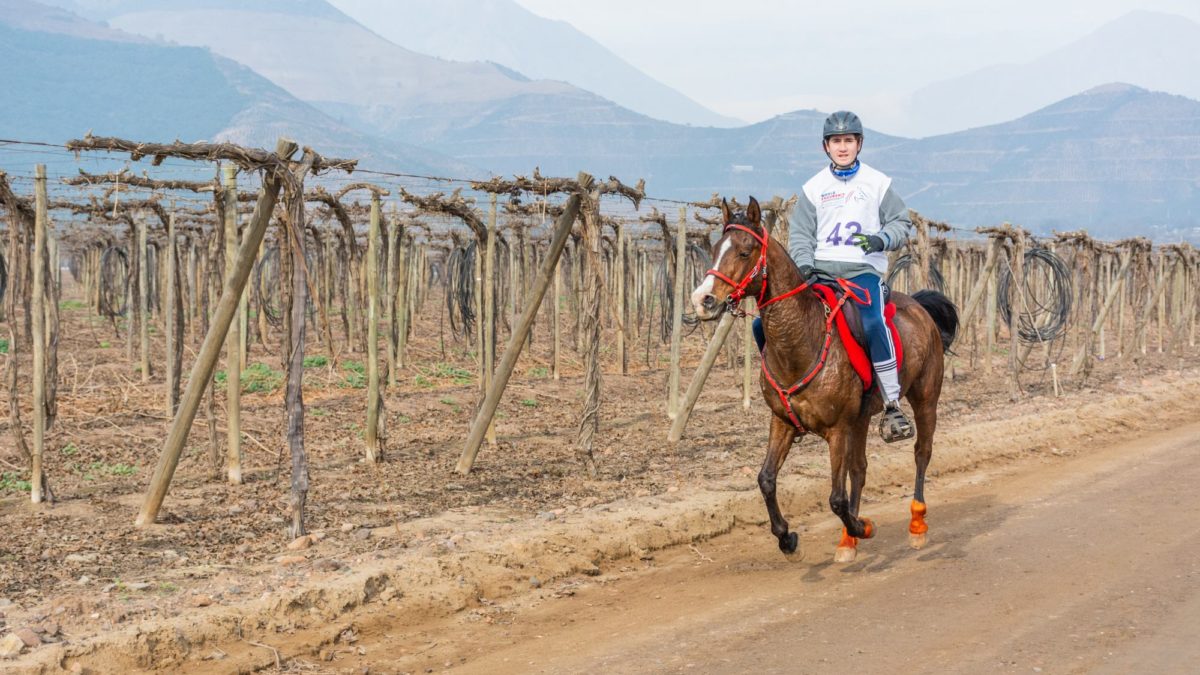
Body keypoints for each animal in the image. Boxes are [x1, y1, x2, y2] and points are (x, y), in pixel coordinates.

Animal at [691, 195, 960, 562]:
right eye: (716, 248)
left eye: (745, 252)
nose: (702, 300)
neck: (803, 338)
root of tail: (919, 306)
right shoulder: (783, 422)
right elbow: (766, 480)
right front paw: (788, 539)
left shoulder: (837, 429)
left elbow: (836, 497)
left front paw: (862, 527)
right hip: (862, 417)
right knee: (860, 469)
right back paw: (848, 541)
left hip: (925, 398)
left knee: (922, 452)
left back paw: (915, 525)